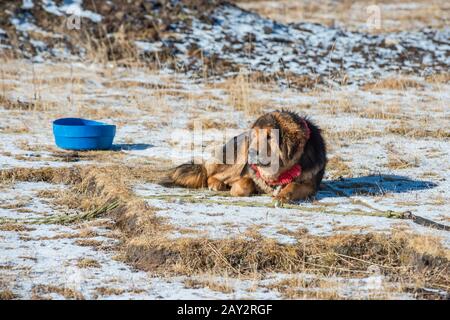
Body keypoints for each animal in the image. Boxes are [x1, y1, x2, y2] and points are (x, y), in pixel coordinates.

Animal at [169, 110, 326, 202]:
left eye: (270, 136)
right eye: (255, 135)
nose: (251, 152)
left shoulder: (310, 186)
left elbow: (294, 185)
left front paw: (282, 196)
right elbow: (245, 183)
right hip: (237, 159)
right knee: (210, 174)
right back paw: (216, 184)